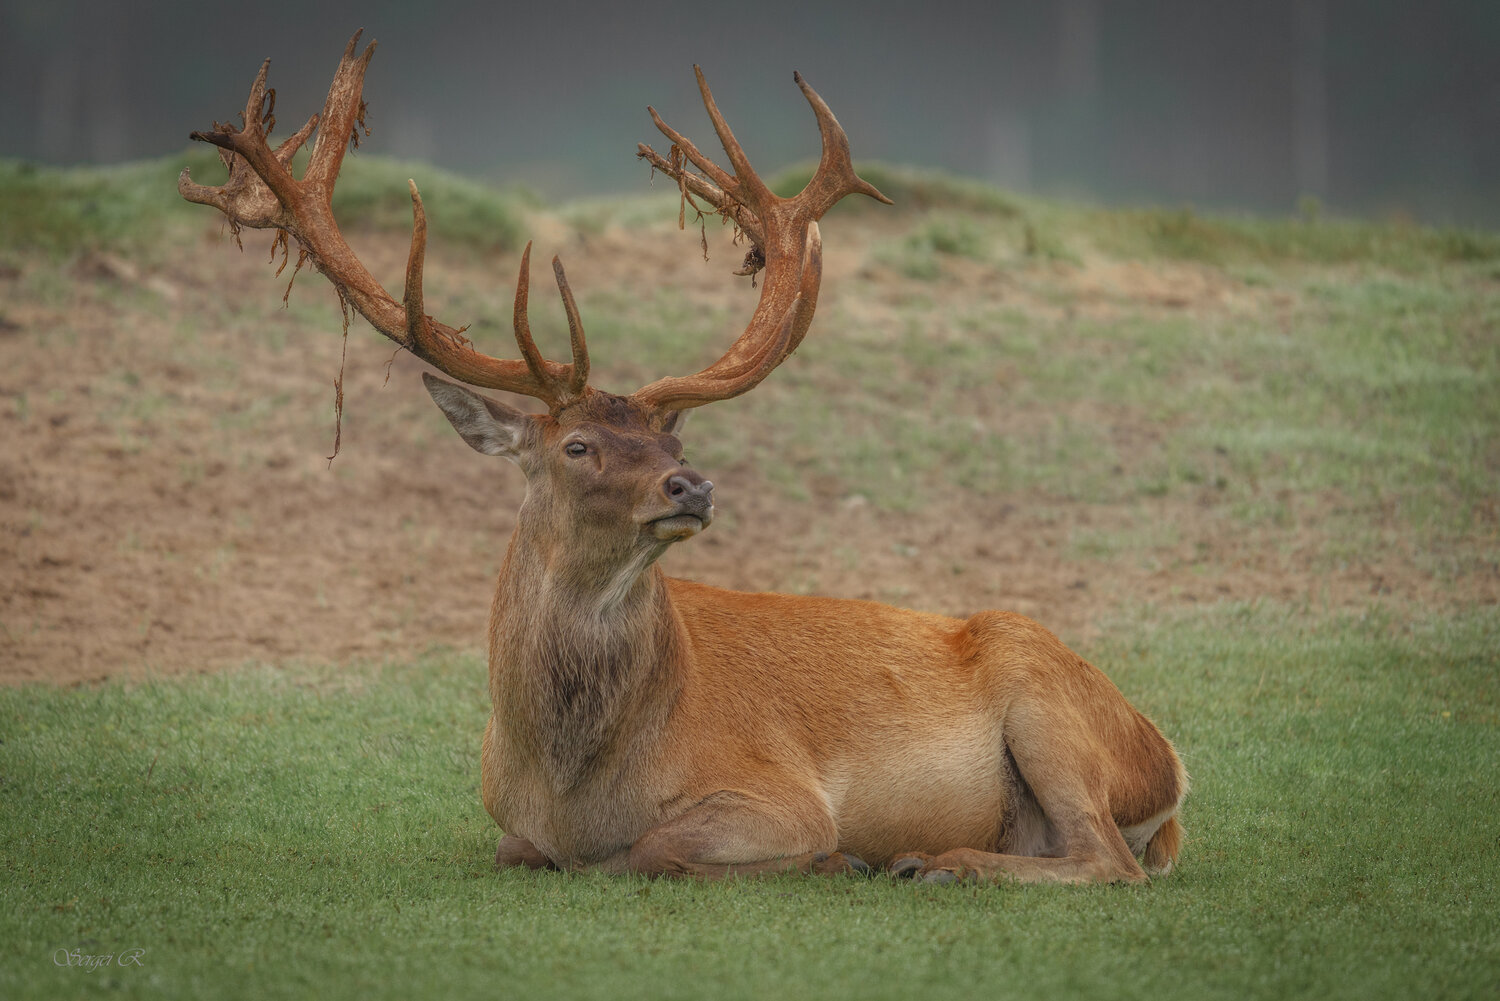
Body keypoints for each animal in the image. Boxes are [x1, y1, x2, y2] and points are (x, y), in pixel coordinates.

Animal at [179, 31, 1186, 884]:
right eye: (578, 444)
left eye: (675, 439)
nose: (692, 485)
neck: (571, 784)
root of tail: (1171, 772)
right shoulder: (507, 822)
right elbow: (523, 851)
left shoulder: (780, 793)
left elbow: (651, 850)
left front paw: (839, 859)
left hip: (1049, 701)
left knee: (1111, 861)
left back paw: (936, 861)